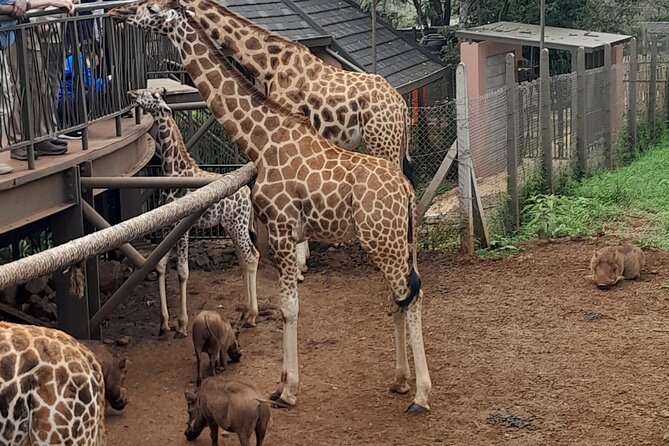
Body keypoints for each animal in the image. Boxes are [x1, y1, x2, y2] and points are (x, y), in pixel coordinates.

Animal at [129, 87, 261, 336]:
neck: (173, 170)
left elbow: (182, 271)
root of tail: (247, 193)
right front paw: (164, 322)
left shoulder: (183, 229)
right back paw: (244, 311)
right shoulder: (167, 227)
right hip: (231, 225)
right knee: (244, 257)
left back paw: (252, 316)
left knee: (251, 256)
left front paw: (181, 324)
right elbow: (160, 266)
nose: (132, 94)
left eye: (152, 95)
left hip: (237, 224)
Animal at [175, 0, 416, 280]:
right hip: (395, 143)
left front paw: (299, 265)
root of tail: (401, 106)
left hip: (382, 142)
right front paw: (304, 259)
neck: (267, 61)